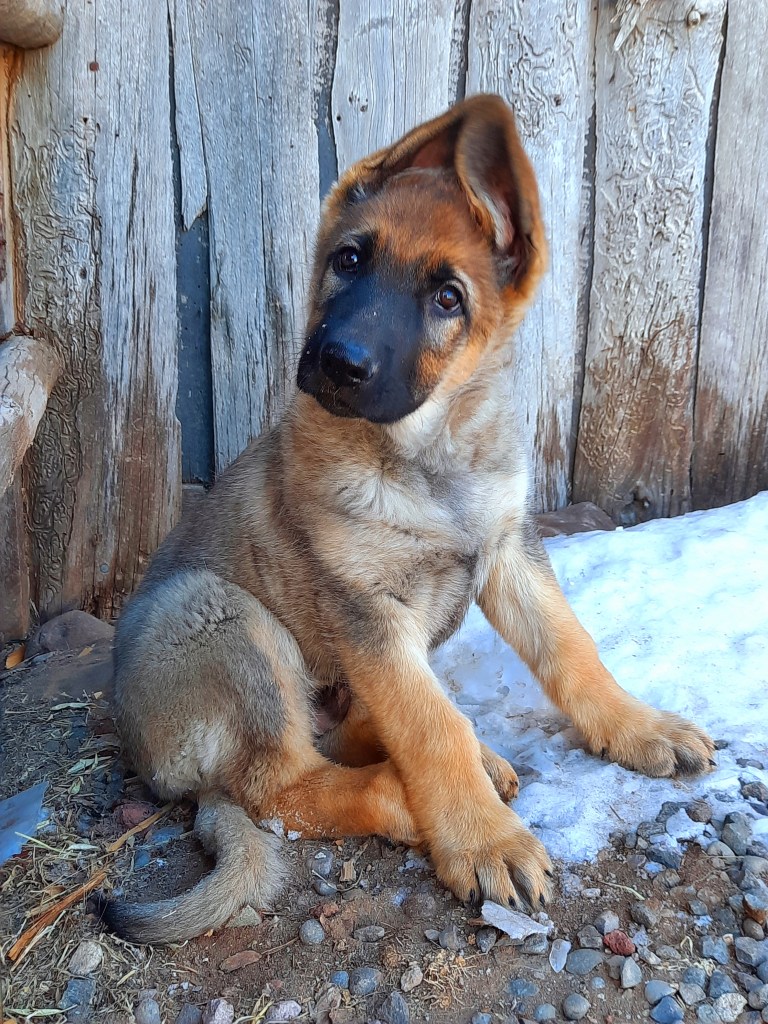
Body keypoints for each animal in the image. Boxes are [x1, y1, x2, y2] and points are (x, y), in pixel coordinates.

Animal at [102, 94, 715, 944]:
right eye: (349, 261)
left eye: (448, 298)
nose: (338, 362)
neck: (431, 451)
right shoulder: (367, 610)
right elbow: (431, 726)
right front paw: (482, 839)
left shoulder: (509, 550)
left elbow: (569, 649)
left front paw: (638, 727)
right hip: (218, 615)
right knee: (285, 784)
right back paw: (404, 800)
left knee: (339, 739)